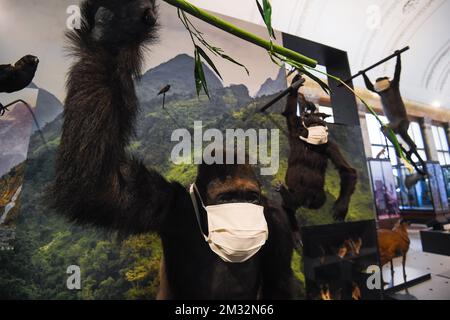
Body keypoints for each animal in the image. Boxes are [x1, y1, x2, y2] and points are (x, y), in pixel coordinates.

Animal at [51, 0, 296, 300]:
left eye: (250, 198)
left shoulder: (276, 221)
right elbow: (98, 189)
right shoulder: (169, 202)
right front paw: (117, 30)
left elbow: (279, 281)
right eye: (227, 198)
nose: (245, 220)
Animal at [280, 74, 356, 245]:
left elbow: (347, 171)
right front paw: (295, 83)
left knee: (316, 198)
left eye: (321, 124)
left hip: (314, 197)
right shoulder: (295, 129)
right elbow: (289, 113)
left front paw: (341, 208)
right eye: (313, 123)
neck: (309, 144)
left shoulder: (330, 145)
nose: (321, 127)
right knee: (291, 204)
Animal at [360, 53, 428, 185]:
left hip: (404, 123)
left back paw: (412, 149)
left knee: (402, 131)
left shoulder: (394, 83)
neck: (386, 89)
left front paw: (397, 54)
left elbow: (398, 71)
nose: (378, 80)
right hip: (393, 127)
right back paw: (400, 150)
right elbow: (370, 88)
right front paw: (362, 72)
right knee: (385, 129)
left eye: (380, 79)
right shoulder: (379, 91)